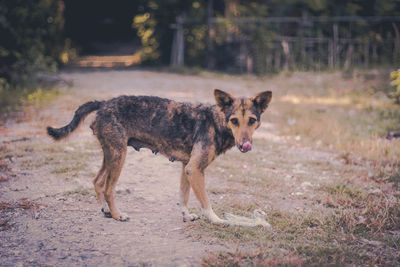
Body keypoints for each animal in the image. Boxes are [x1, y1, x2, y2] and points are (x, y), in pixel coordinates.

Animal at [47, 89, 272, 224]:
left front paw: (186, 215)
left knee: (97, 181)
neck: (216, 121)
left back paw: (106, 210)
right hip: (119, 156)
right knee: (108, 188)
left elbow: (183, 196)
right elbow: (206, 202)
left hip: (110, 154)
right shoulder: (195, 169)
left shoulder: (187, 167)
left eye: (252, 120)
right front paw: (216, 220)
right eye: (234, 120)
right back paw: (118, 215)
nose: (245, 145)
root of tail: (103, 103)